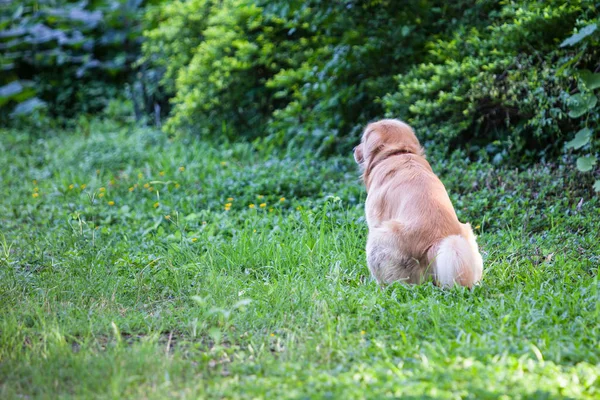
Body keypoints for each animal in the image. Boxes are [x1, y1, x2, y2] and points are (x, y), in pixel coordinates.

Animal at [352, 119, 482, 288]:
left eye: (363, 140)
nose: (354, 149)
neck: (398, 153)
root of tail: (436, 242)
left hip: (379, 238)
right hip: (467, 239)